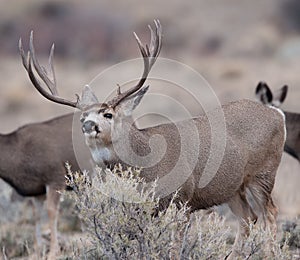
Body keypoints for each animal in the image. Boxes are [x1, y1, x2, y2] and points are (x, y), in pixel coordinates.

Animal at [0, 110, 78, 258]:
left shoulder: (56, 177)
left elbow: (52, 211)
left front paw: (53, 252)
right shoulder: (37, 190)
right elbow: (36, 215)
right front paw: (36, 252)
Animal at [20, 20, 286, 258]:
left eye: (108, 114)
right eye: (82, 116)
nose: (88, 125)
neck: (147, 163)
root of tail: (277, 114)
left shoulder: (182, 198)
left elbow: (174, 247)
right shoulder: (143, 207)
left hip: (264, 173)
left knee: (270, 213)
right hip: (232, 187)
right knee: (248, 218)